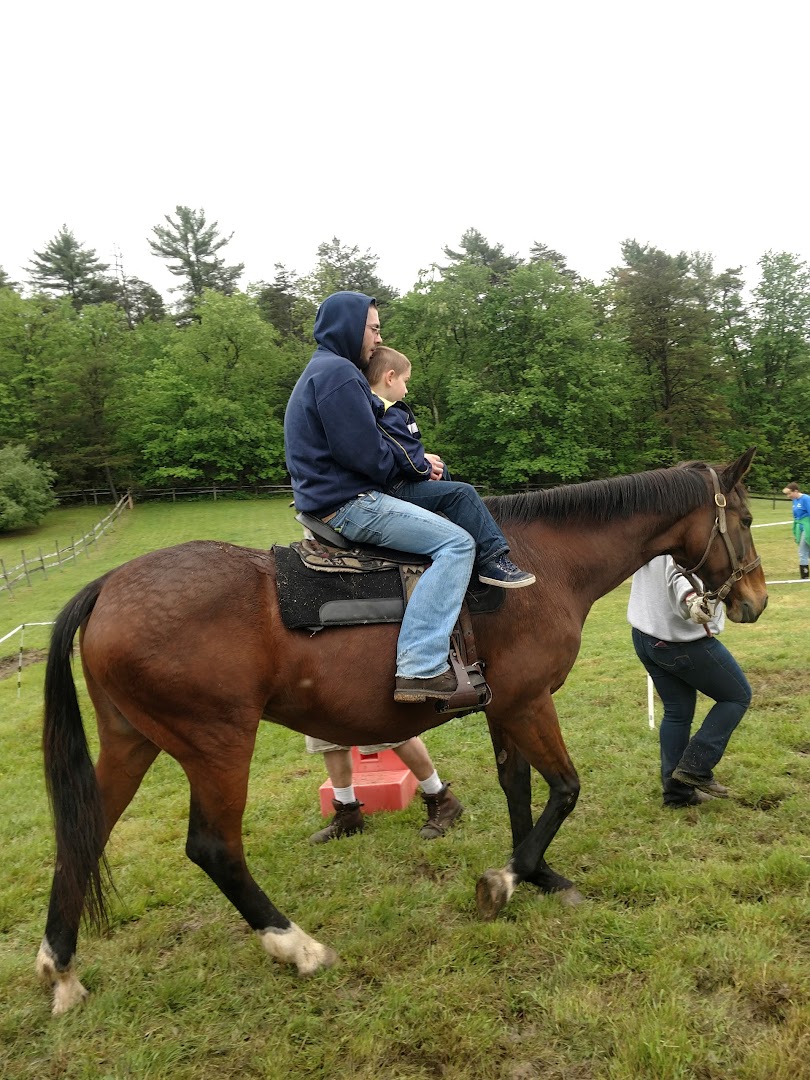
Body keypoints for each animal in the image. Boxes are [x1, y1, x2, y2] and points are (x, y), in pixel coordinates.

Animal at [34, 449, 768, 1010]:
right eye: (746, 518)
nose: (754, 600)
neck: (541, 562)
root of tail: (108, 586)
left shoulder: (506, 709)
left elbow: (518, 788)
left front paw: (538, 873)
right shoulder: (529, 702)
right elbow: (564, 787)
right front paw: (508, 879)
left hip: (132, 741)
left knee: (83, 834)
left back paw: (61, 968)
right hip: (217, 746)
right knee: (214, 848)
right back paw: (296, 946)